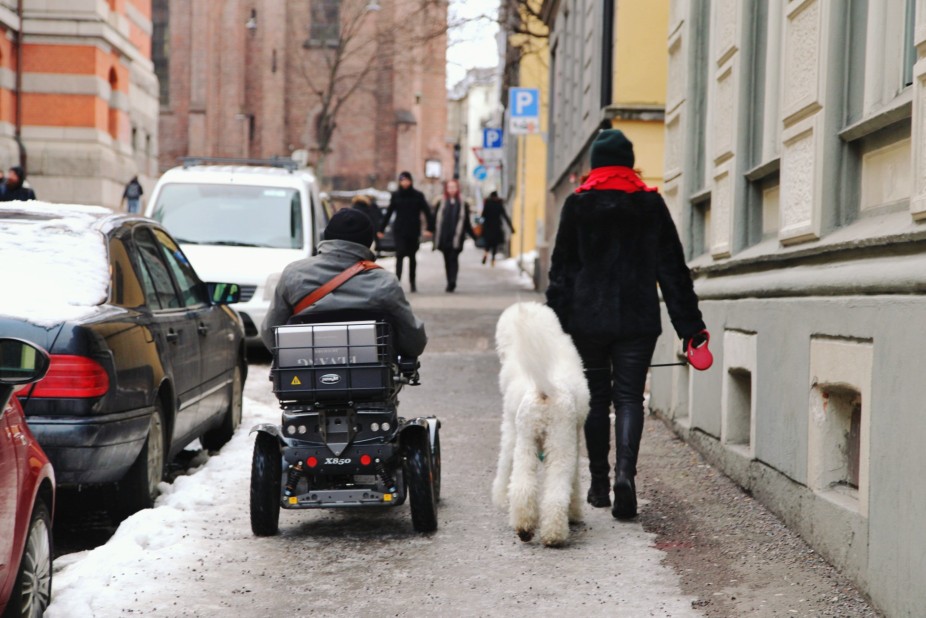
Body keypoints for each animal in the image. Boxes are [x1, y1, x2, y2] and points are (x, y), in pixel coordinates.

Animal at [490, 300, 592, 544]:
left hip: (527, 441)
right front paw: (575, 512)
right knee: (556, 490)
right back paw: (555, 533)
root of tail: (544, 390)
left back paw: (524, 527)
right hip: (560, 443)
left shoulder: (514, 431)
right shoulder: (572, 440)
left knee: (522, 486)